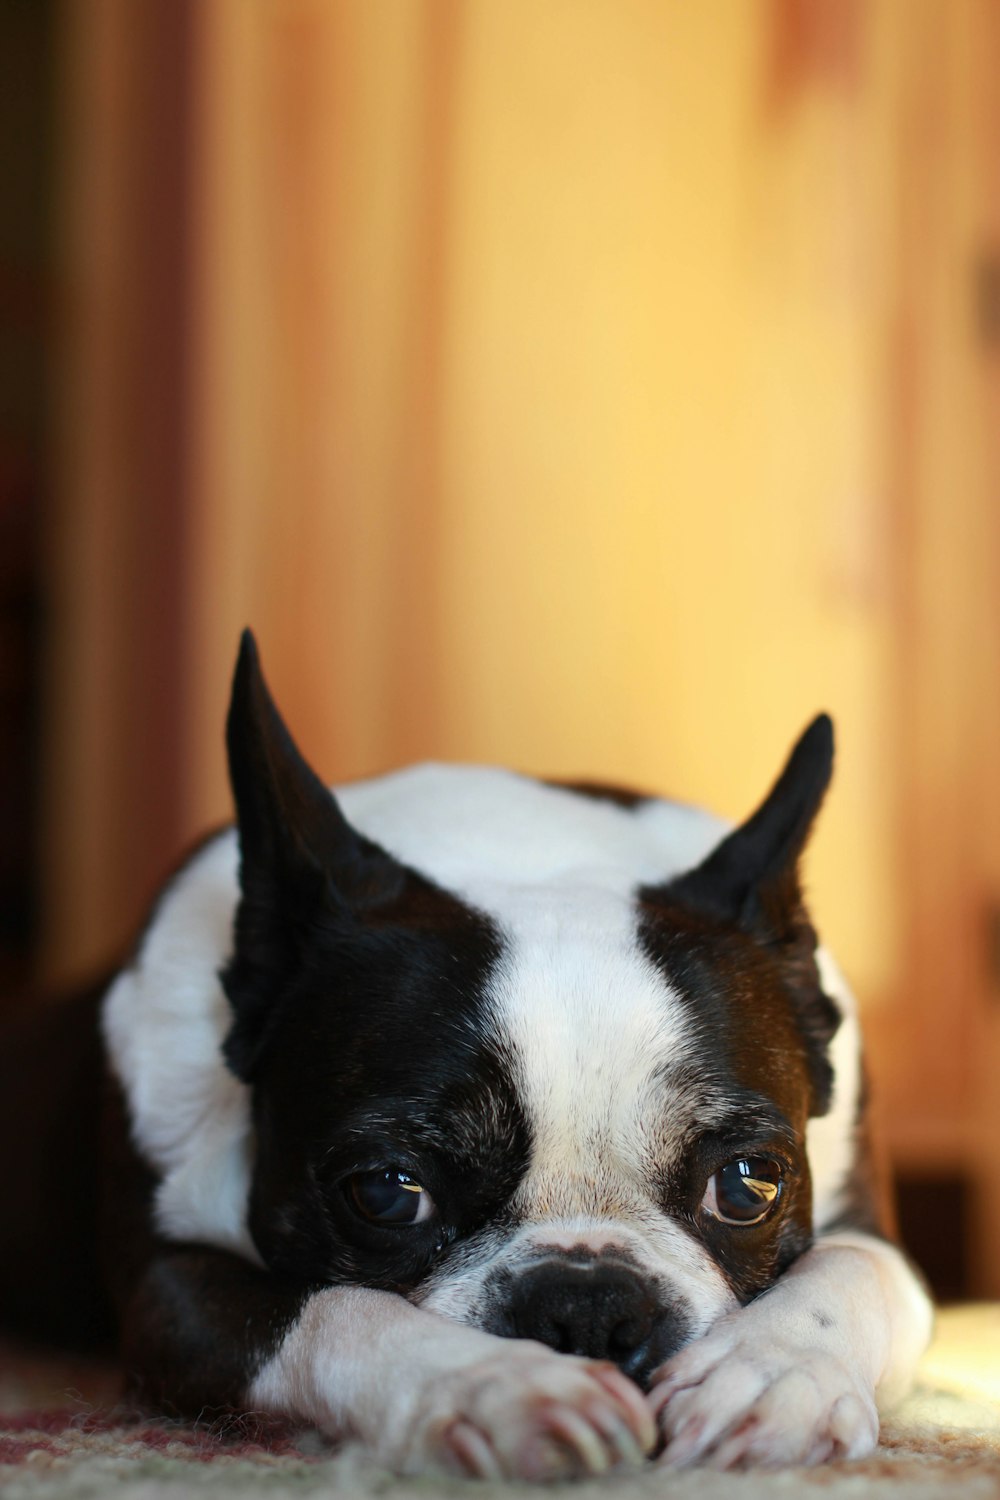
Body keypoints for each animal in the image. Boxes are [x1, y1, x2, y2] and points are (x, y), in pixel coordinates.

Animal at [0, 630, 929, 1476]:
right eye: (385, 1192)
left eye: (747, 1186)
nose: (590, 1306)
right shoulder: (169, 1294)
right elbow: (331, 1309)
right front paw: (492, 1386)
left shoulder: (870, 1231)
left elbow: (852, 1271)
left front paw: (771, 1376)